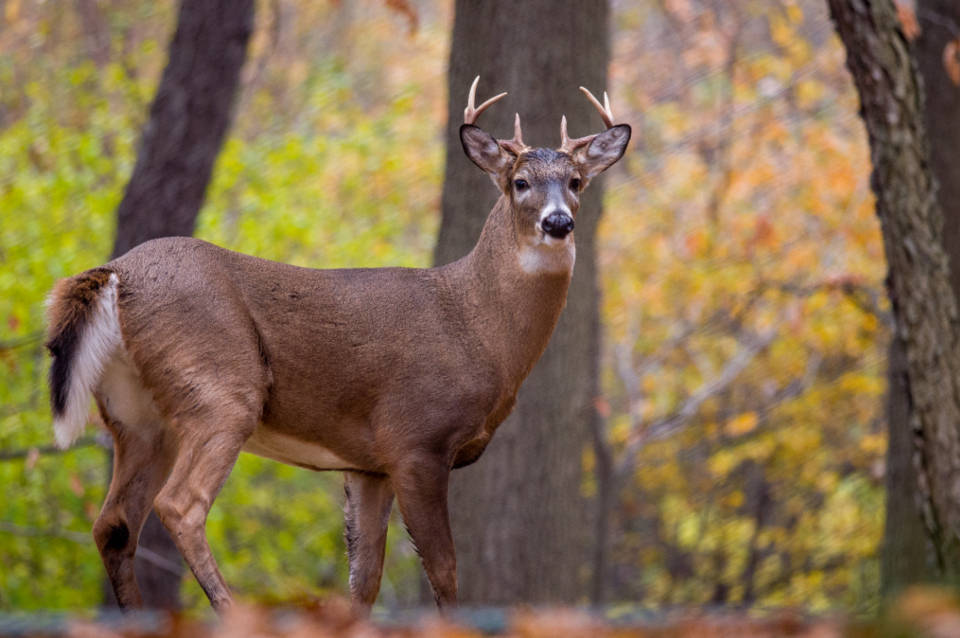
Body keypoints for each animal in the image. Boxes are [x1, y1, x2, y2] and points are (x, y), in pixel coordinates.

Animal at [43, 79, 632, 616]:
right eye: (520, 182)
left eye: (577, 181)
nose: (558, 222)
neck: (478, 329)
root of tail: (116, 272)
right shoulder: (414, 439)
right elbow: (443, 569)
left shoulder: (367, 464)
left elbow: (363, 581)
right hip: (219, 388)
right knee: (180, 505)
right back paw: (231, 611)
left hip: (138, 417)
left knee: (114, 523)